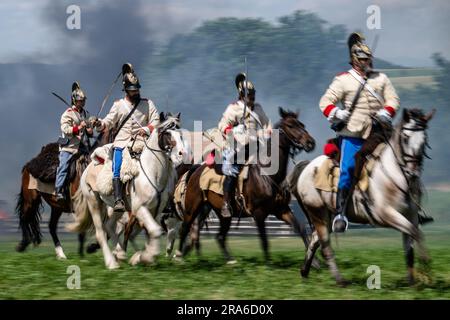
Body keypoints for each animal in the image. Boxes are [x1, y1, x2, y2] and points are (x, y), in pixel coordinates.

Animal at [68, 114, 190, 268]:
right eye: (167, 134)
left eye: (180, 135)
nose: (182, 154)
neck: (153, 173)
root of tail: (88, 167)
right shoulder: (140, 208)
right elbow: (154, 231)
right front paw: (146, 257)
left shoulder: (155, 211)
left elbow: (152, 232)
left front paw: (142, 257)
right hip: (94, 202)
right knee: (101, 233)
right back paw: (111, 263)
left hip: (117, 208)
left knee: (110, 226)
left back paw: (120, 254)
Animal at [177, 107, 316, 262]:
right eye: (291, 125)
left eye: (302, 125)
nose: (310, 143)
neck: (267, 175)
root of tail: (196, 170)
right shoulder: (259, 214)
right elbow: (264, 242)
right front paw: (267, 264)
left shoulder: (281, 210)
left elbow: (300, 228)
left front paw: (314, 261)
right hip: (192, 208)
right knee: (185, 228)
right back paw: (178, 256)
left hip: (220, 213)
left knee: (219, 236)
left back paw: (230, 260)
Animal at [294, 108, 434, 284]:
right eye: (405, 138)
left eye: (425, 140)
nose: (413, 173)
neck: (395, 176)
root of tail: (307, 167)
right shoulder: (387, 215)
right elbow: (416, 234)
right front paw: (425, 263)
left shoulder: (411, 215)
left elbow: (409, 247)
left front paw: (412, 282)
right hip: (317, 212)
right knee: (325, 245)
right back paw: (339, 280)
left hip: (327, 216)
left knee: (314, 240)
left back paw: (304, 272)